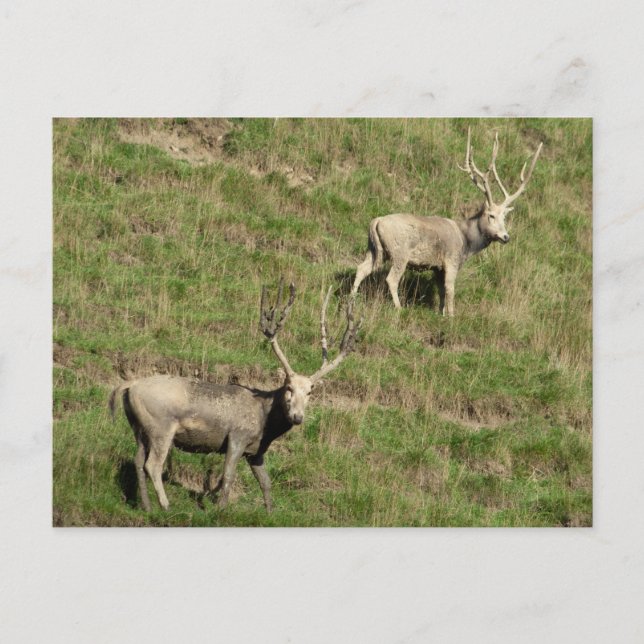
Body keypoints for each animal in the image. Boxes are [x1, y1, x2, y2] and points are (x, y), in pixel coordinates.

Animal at [109, 282, 362, 513]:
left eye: (310, 391)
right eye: (288, 387)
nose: (297, 417)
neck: (265, 424)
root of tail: (129, 385)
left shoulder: (256, 451)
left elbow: (266, 483)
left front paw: (270, 513)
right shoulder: (238, 435)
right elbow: (227, 476)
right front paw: (220, 510)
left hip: (138, 427)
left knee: (138, 461)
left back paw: (146, 506)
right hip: (161, 425)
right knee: (152, 464)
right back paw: (165, 505)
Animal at [350, 128, 543, 316]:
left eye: (504, 217)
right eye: (491, 215)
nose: (505, 236)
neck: (467, 243)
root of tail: (375, 222)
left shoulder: (438, 267)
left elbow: (442, 291)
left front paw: (441, 313)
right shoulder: (451, 259)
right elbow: (450, 290)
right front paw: (451, 317)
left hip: (374, 249)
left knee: (361, 268)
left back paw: (351, 299)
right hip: (400, 252)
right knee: (391, 279)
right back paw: (399, 308)